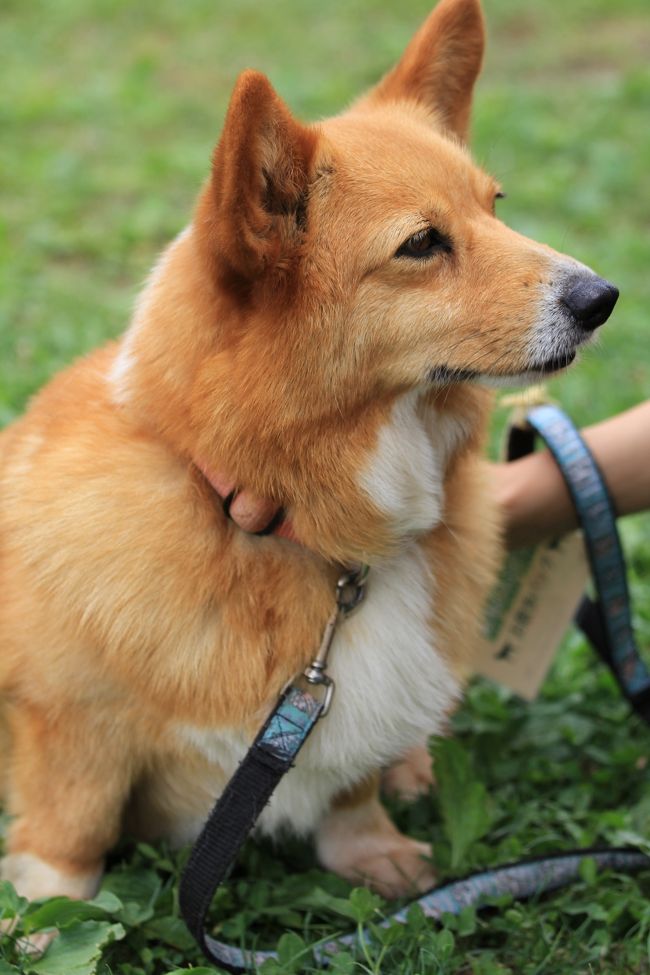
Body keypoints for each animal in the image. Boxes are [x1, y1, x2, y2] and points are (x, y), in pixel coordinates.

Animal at [0, 0, 616, 908]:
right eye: (422, 244)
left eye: (496, 205)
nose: (604, 298)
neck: (280, 520)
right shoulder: (71, 720)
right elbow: (71, 828)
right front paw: (45, 911)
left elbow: (352, 785)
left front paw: (376, 854)